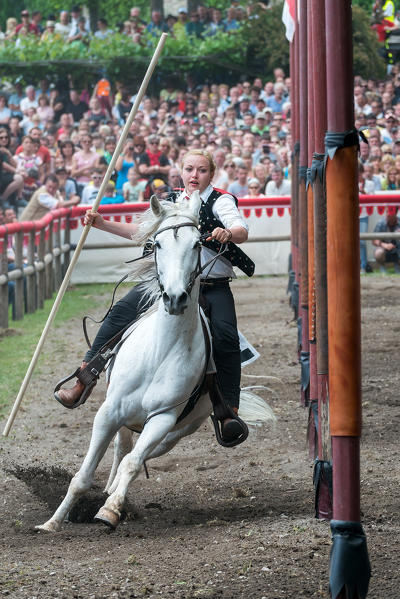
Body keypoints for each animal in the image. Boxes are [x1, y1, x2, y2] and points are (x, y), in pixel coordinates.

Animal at [36, 193, 276, 536]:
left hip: (177, 431)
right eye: (157, 244)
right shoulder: (108, 412)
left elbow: (134, 464)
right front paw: (52, 522)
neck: (160, 352)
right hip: (124, 418)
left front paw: (109, 511)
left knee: (137, 455)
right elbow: (83, 476)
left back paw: (113, 497)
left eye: (197, 243)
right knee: (121, 448)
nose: (175, 298)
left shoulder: (163, 418)